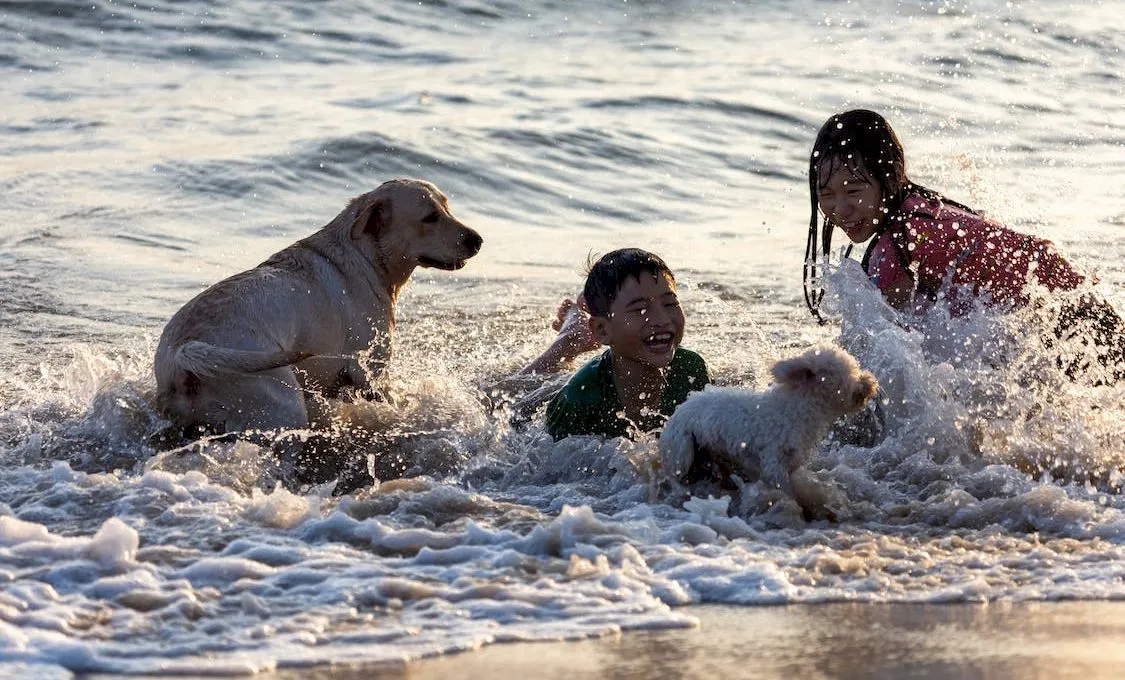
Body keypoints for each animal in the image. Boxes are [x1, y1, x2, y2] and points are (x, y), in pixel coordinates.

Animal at [153, 177, 479, 439]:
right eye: (430, 217)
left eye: (447, 207)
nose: (478, 240)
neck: (364, 256)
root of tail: (183, 353)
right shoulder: (371, 372)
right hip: (281, 402)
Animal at [657, 344, 877, 504]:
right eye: (848, 373)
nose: (870, 382)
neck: (797, 408)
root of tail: (679, 410)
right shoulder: (774, 463)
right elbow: (788, 493)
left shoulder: (790, 464)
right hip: (682, 448)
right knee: (673, 475)